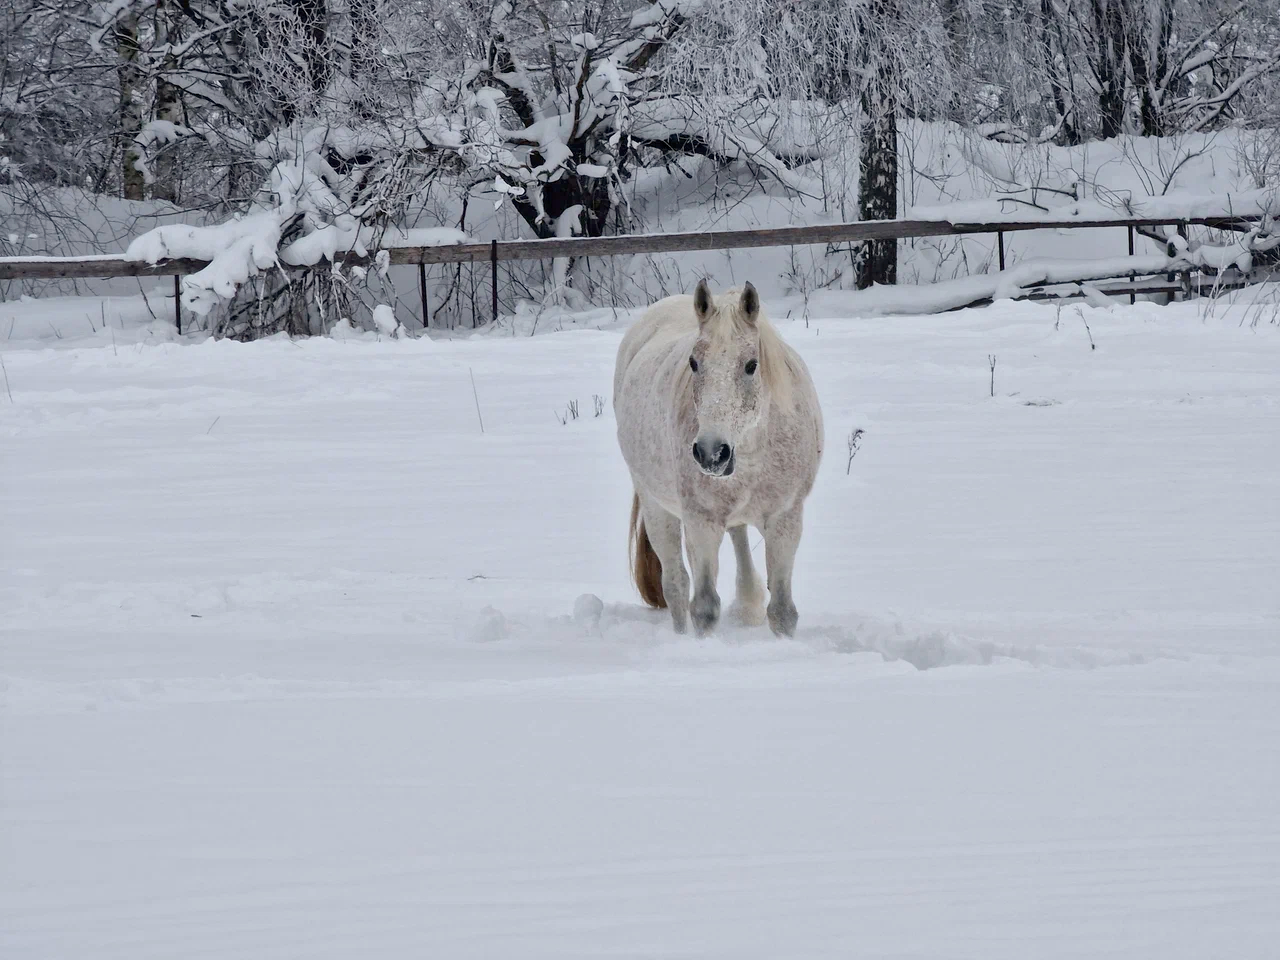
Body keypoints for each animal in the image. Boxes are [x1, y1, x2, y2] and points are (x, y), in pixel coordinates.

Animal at [613, 279, 824, 638]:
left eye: (752, 365)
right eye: (694, 363)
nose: (712, 453)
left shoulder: (785, 519)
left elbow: (782, 610)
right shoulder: (702, 522)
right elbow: (705, 608)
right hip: (657, 506)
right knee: (676, 585)